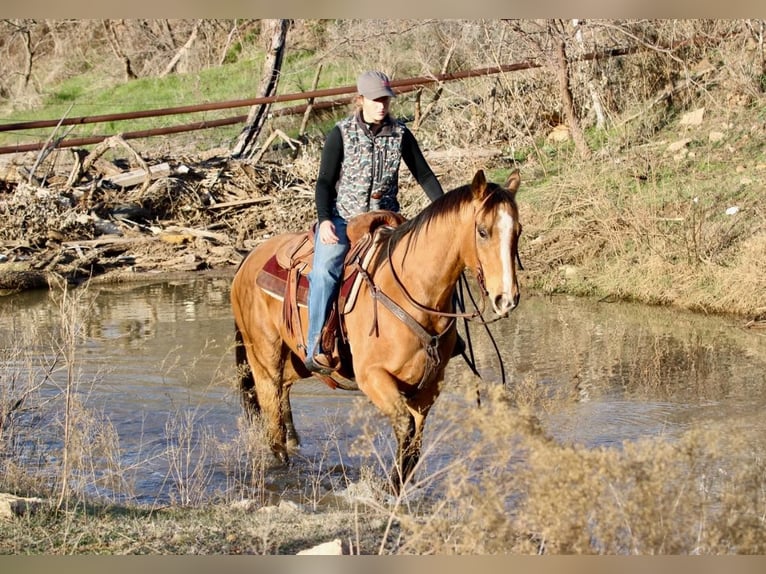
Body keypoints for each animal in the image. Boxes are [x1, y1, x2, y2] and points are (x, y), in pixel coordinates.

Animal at [231, 169, 524, 492]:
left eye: (518, 231)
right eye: (483, 231)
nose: (506, 298)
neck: (412, 290)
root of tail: (247, 259)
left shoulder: (429, 386)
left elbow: (415, 443)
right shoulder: (374, 377)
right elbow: (405, 429)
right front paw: (389, 488)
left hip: (295, 360)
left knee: (284, 395)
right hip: (264, 356)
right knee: (271, 414)